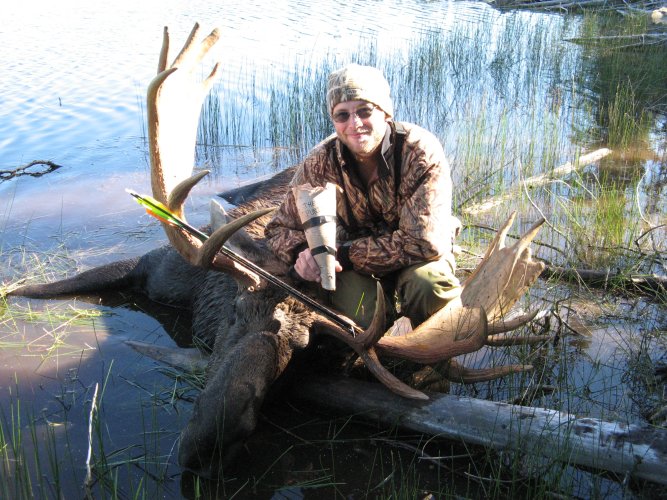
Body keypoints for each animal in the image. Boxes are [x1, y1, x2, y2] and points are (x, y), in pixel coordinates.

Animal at [8, 24, 549, 478]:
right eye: (234, 313)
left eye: (304, 351)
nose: (207, 443)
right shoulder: (157, 267)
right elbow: (60, 284)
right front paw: (13, 293)